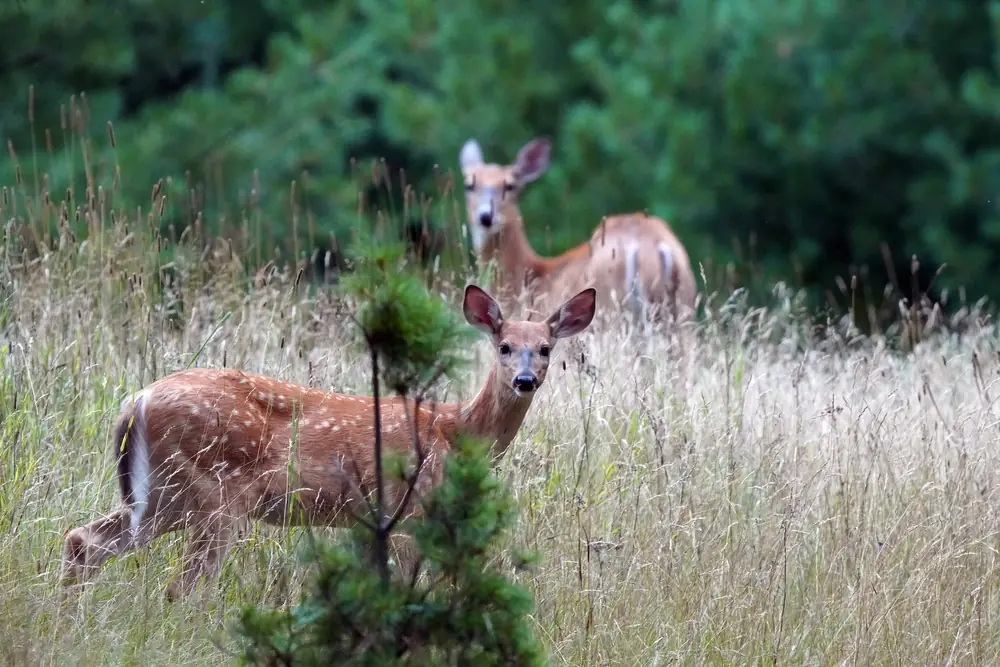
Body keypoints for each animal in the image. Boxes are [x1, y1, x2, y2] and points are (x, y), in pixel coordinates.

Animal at [60, 284, 596, 600]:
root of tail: (136, 400)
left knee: (84, 540)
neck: (455, 430)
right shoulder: (406, 511)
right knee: (183, 585)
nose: (525, 380)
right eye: (504, 346)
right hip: (213, 491)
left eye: (545, 348)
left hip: (162, 493)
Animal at [459, 137, 697, 330]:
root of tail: (654, 245)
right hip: (684, 307)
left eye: (509, 186)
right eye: (469, 185)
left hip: (611, 310)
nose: (486, 216)